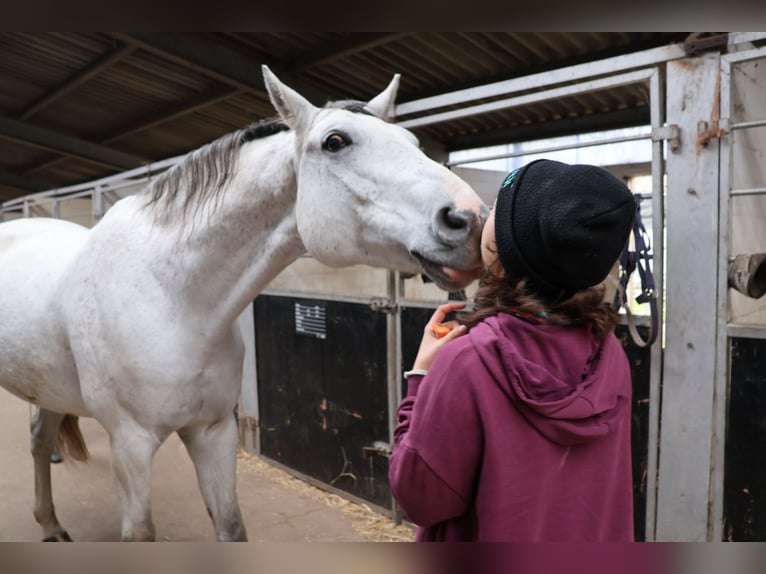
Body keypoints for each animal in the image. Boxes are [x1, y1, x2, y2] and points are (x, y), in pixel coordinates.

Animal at [0, 67, 488, 544]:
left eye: (413, 143)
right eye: (335, 141)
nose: (470, 219)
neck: (171, 297)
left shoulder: (214, 432)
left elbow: (231, 526)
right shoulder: (130, 444)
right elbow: (139, 532)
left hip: (51, 388)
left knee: (40, 440)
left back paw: (52, 525)